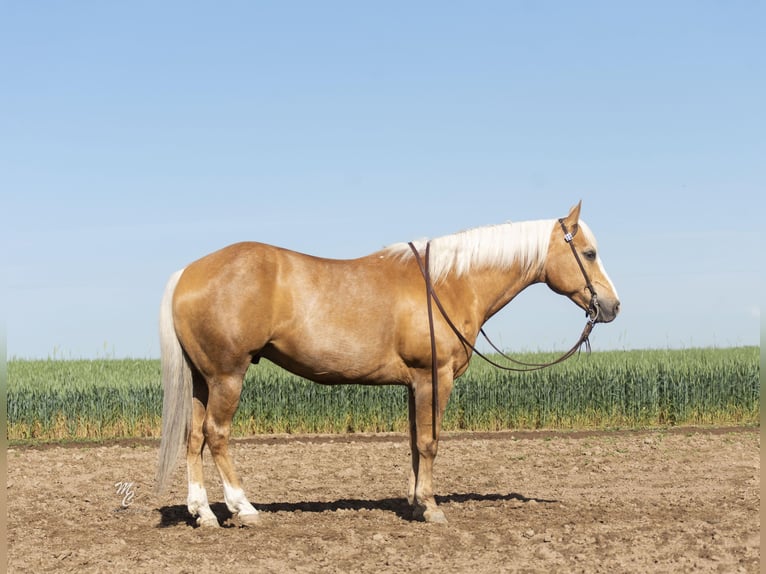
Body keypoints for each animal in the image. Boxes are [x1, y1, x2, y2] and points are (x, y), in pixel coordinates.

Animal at [156, 202, 624, 528]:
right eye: (589, 252)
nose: (612, 305)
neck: (448, 283)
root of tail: (187, 273)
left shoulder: (415, 384)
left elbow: (415, 443)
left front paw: (415, 503)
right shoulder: (435, 378)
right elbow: (430, 442)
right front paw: (432, 508)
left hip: (203, 380)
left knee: (194, 437)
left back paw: (204, 513)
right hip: (228, 376)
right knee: (217, 436)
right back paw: (244, 507)